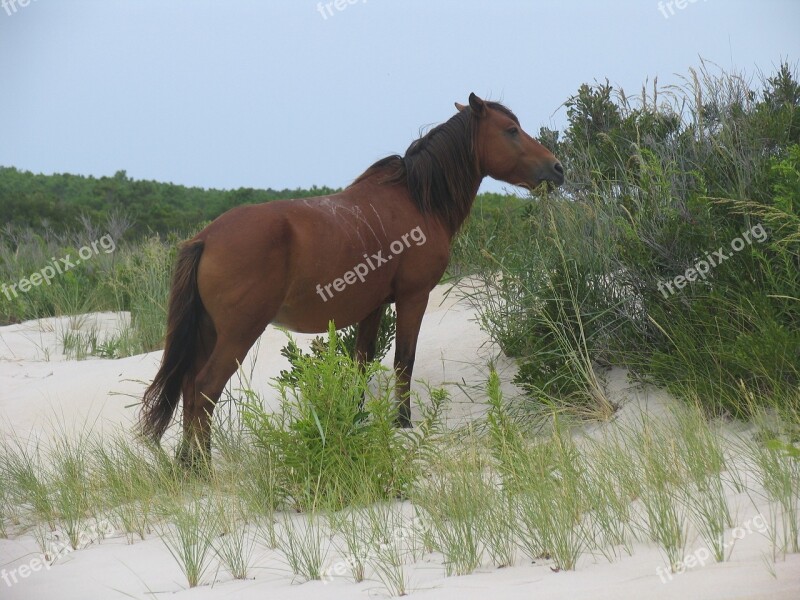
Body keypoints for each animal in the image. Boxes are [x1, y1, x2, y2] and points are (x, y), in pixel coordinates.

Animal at [142, 92, 564, 464]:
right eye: (511, 130)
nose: (557, 168)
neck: (417, 199)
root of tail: (205, 238)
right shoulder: (414, 297)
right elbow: (404, 360)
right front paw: (402, 423)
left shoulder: (372, 308)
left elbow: (361, 365)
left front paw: (356, 421)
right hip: (238, 333)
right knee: (205, 389)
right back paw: (202, 467)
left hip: (208, 332)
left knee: (189, 388)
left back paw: (185, 464)